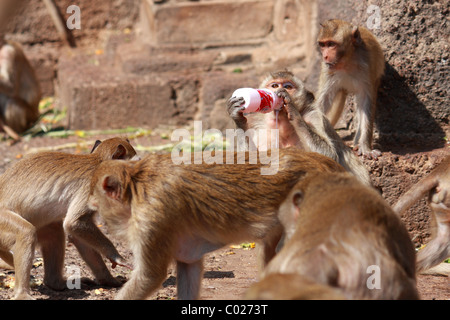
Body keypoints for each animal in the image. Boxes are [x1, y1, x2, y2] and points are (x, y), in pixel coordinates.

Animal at [0, 138, 137, 300]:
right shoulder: (91, 187)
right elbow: (74, 223)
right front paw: (116, 257)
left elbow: (76, 234)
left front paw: (109, 279)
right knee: (26, 233)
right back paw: (22, 294)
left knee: (54, 231)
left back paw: (56, 283)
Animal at [89, 149, 348, 298]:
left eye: (97, 199)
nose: (94, 209)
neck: (137, 185)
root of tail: (329, 164)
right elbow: (189, 267)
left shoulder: (152, 219)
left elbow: (150, 276)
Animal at [227, 70, 370, 185]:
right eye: (274, 85)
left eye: (288, 86)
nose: (278, 91)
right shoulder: (262, 132)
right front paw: (237, 117)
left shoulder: (314, 116)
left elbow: (330, 156)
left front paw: (292, 109)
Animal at [314, 19, 384, 159]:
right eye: (322, 45)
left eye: (331, 44)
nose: (324, 56)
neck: (346, 63)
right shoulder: (328, 70)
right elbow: (322, 101)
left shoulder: (367, 67)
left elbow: (366, 102)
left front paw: (366, 147)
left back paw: (357, 143)